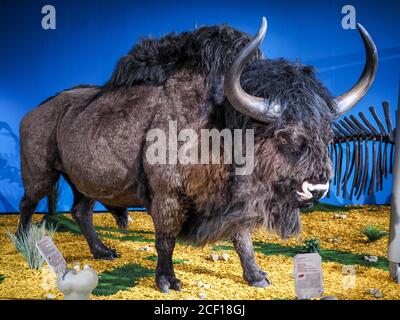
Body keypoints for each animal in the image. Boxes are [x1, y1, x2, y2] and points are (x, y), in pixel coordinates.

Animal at [17, 17, 376, 292]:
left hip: (83, 182)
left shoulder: (233, 204)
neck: (220, 122)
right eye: (283, 133)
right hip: (42, 175)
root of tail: (32, 114)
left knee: (81, 210)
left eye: (328, 133)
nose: (317, 188)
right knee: (28, 203)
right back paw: (22, 243)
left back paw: (104, 251)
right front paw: (167, 281)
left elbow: (242, 239)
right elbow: (166, 238)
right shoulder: (167, 197)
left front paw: (257, 277)